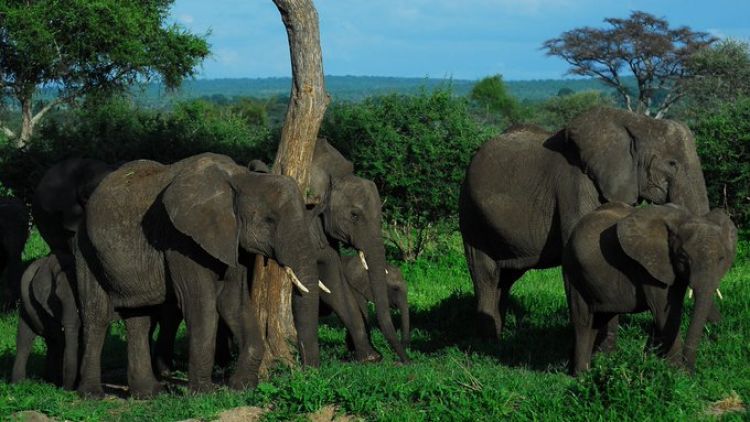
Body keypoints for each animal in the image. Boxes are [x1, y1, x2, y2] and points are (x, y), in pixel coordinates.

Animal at [12, 254, 80, 389]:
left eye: (78, 295)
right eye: (57, 299)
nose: (67, 389)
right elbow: (61, 339)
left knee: (50, 343)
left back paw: (47, 380)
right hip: (27, 308)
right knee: (24, 341)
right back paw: (19, 385)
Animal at [73, 153, 321, 398]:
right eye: (269, 220)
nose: (307, 374)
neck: (240, 178)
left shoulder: (229, 241)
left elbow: (234, 303)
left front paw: (242, 386)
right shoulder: (180, 241)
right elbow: (200, 305)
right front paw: (204, 393)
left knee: (139, 319)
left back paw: (149, 393)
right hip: (85, 249)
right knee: (96, 316)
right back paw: (92, 395)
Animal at [459, 107, 711, 340]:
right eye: (672, 163)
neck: (635, 122)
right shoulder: (574, 185)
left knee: (507, 277)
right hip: (471, 213)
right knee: (487, 273)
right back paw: (488, 343)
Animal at [562, 202, 737, 375]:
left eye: (721, 259)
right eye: (683, 257)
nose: (691, 371)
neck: (683, 219)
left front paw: (657, 363)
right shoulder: (649, 268)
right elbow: (665, 313)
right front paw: (676, 374)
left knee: (597, 321)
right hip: (574, 273)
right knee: (583, 322)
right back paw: (581, 377)